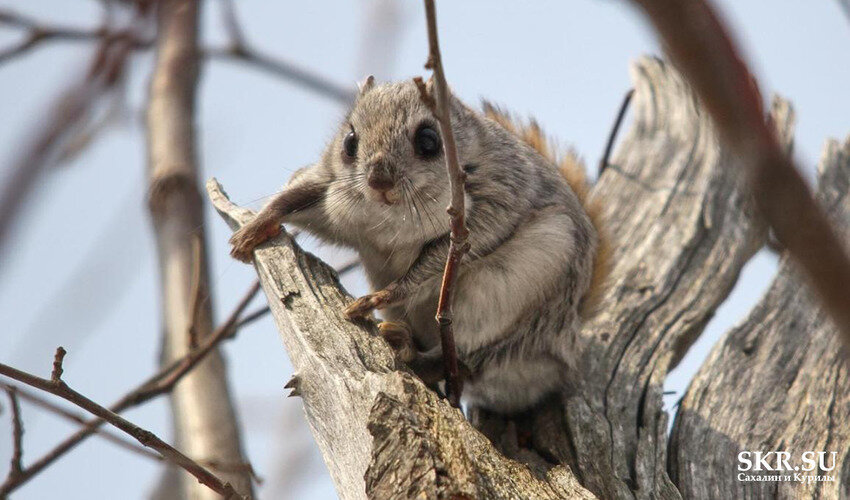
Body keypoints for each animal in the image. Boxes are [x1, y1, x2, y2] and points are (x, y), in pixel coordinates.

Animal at [229, 77, 608, 414]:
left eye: (428, 141)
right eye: (350, 141)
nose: (378, 179)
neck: (388, 215)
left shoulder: (494, 202)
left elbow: (445, 254)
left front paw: (381, 296)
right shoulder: (334, 197)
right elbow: (298, 194)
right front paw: (255, 228)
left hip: (515, 292)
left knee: (471, 359)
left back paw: (411, 351)